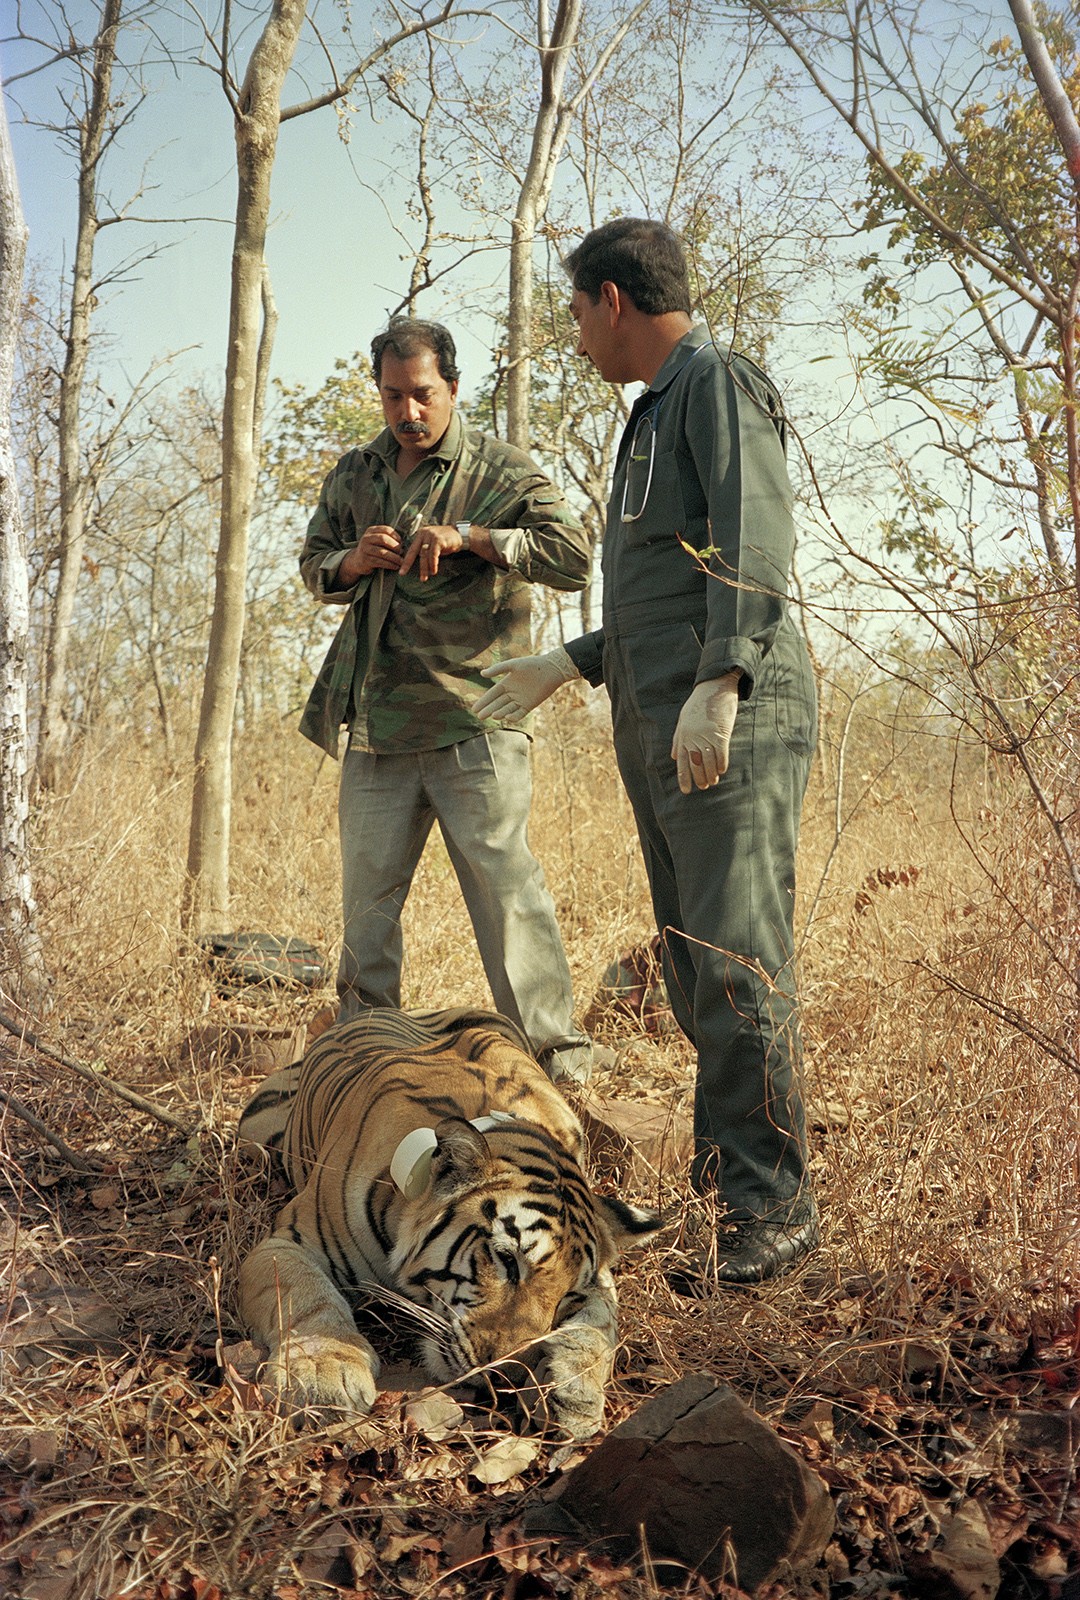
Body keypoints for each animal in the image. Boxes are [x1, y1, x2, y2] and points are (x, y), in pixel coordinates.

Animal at [237, 1005, 661, 1439]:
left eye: (568, 1296)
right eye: (507, 1261)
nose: (506, 1378)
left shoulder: (600, 1280)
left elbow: (598, 1325)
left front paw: (574, 1392)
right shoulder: (288, 1243)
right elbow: (305, 1297)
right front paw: (324, 1373)